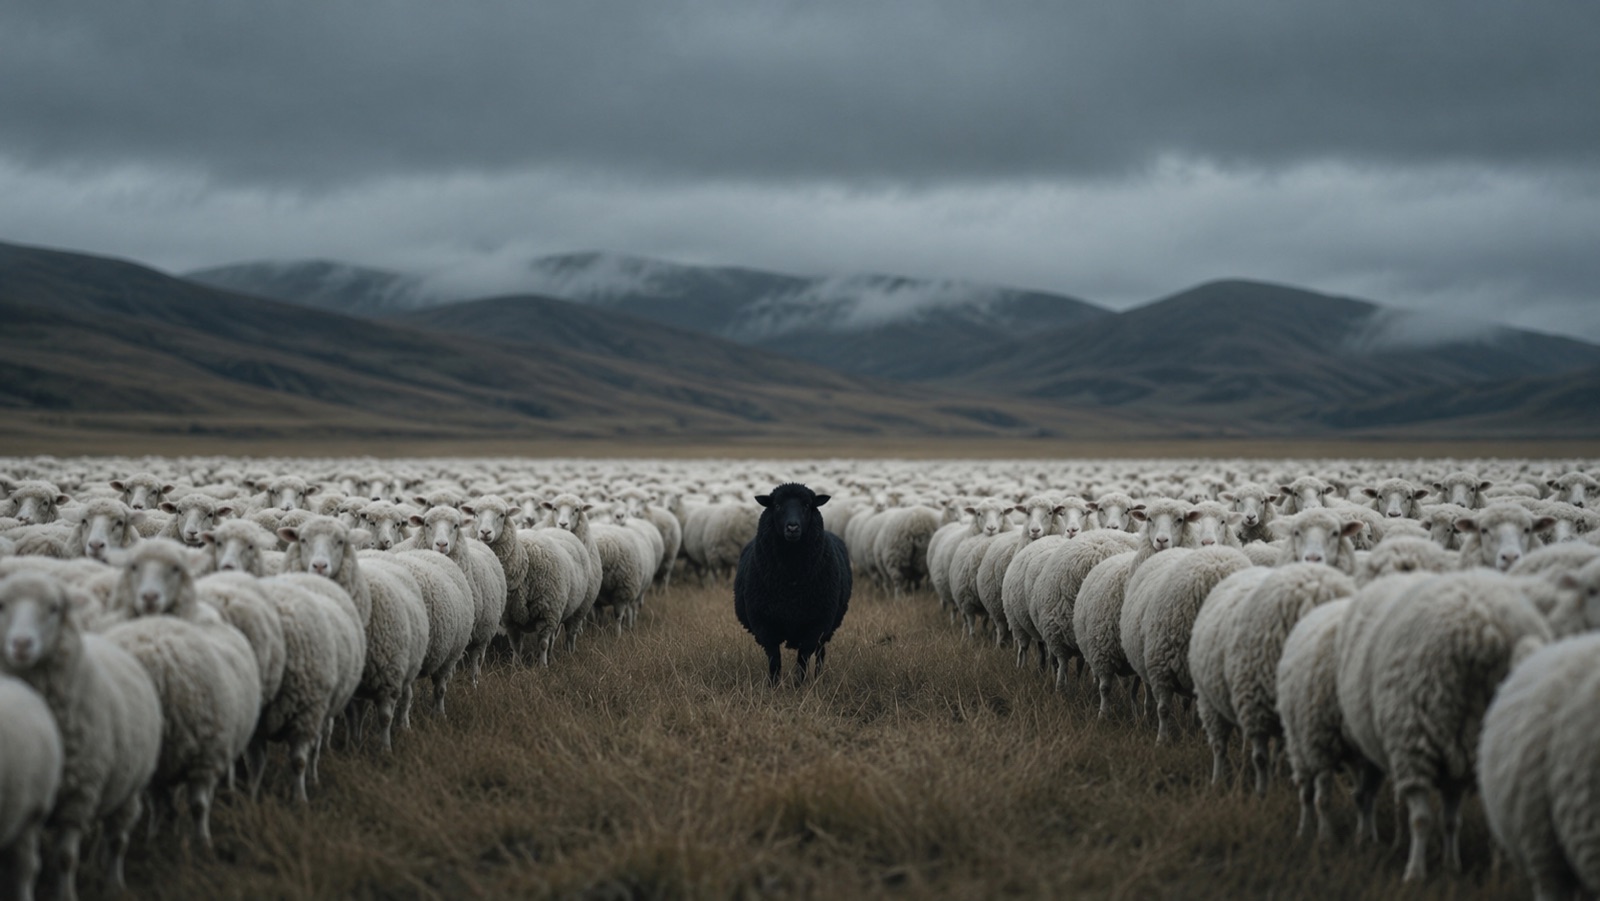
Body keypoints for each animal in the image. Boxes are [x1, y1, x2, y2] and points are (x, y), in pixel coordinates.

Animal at [102, 539, 261, 848]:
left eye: (176, 568)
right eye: (133, 566)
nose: (150, 597)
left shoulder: (206, 757)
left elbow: (198, 806)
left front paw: (202, 844)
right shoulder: (153, 766)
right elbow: (157, 805)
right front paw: (154, 838)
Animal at [733, 483, 851, 685]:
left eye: (807, 505)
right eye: (777, 505)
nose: (793, 527)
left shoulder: (815, 625)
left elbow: (802, 660)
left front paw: (799, 686)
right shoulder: (765, 626)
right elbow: (775, 661)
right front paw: (773, 686)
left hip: (828, 627)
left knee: (821, 653)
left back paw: (818, 678)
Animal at [1122, 545, 1254, 743]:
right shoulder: (1161, 670)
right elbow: (1164, 709)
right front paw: (1162, 740)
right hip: (1146, 659)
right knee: (1149, 692)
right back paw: (1147, 717)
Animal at [1336, 570, 1551, 881]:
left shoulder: (1452, 759)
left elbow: (1444, 820)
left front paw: (1444, 867)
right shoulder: (1418, 754)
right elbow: (1428, 820)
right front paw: (1424, 871)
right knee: (1367, 794)